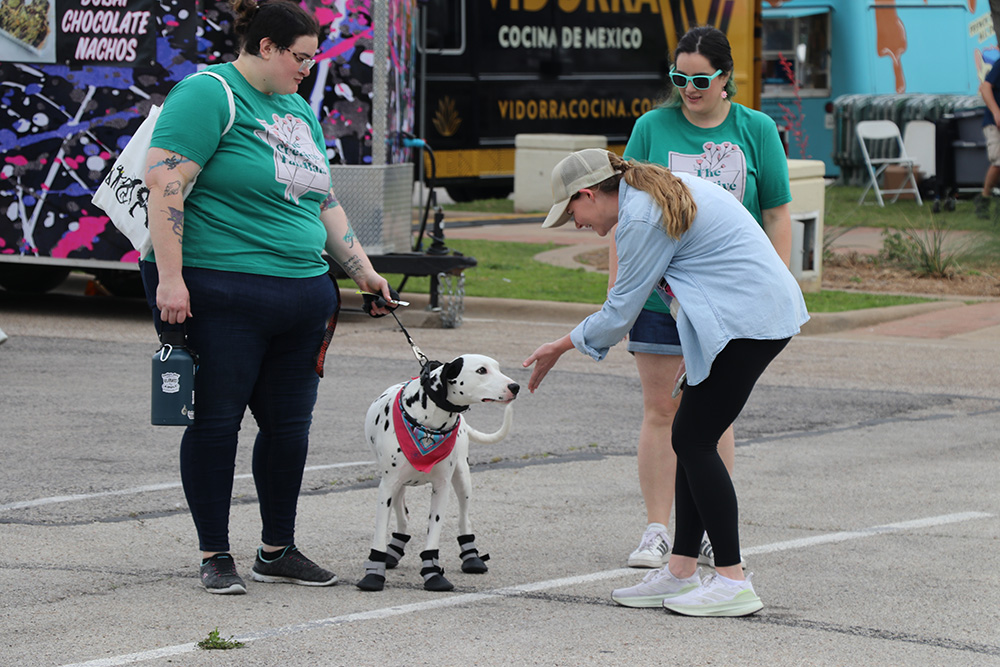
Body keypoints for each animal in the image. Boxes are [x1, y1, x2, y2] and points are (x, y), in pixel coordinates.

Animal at [357, 354, 519, 592]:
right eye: (481, 370)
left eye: (498, 368)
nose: (515, 386)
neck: (428, 424)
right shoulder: (387, 487)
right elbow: (379, 533)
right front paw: (374, 574)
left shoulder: (441, 488)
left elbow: (433, 536)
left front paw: (432, 574)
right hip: (396, 487)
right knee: (403, 518)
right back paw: (394, 550)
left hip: (462, 480)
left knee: (464, 519)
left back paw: (472, 557)